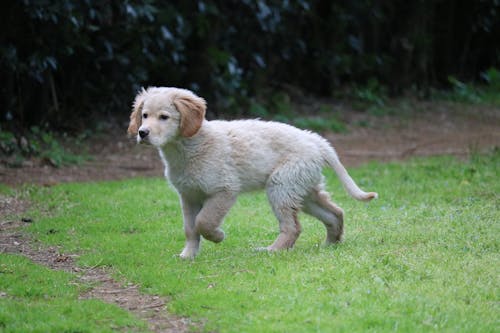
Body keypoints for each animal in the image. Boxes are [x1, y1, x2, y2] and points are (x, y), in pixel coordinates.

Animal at [127, 87, 376, 258]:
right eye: (145, 115)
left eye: (164, 117)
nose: (142, 133)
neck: (189, 146)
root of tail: (315, 140)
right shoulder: (188, 196)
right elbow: (190, 227)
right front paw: (188, 255)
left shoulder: (225, 190)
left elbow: (204, 221)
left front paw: (217, 236)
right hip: (302, 189)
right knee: (335, 213)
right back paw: (330, 244)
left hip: (281, 186)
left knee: (293, 227)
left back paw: (272, 251)